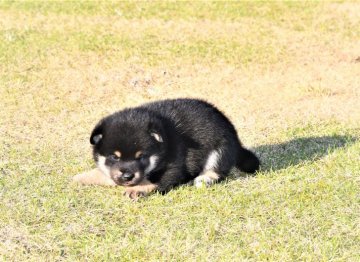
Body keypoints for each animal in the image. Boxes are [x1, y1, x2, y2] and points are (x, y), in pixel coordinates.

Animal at [73, 99, 258, 200]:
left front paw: (136, 190)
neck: (162, 148)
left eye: (141, 157)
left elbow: (154, 181)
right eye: (114, 157)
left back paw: (205, 179)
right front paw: (81, 177)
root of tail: (236, 140)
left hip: (220, 149)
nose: (127, 176)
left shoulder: (175, 166)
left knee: (218, 170)